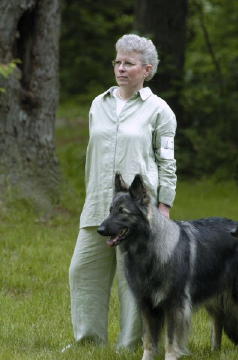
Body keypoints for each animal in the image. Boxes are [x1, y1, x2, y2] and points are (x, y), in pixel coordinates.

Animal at [97, 173, 238, 358]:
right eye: (110, 210)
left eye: (122, 212)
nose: (99, 229)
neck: (147, 250)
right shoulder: (147, 305)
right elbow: (149, 340)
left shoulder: (174, 305)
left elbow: (171, 340)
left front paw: (171, 356)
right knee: (218, 320)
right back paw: (215, 351)